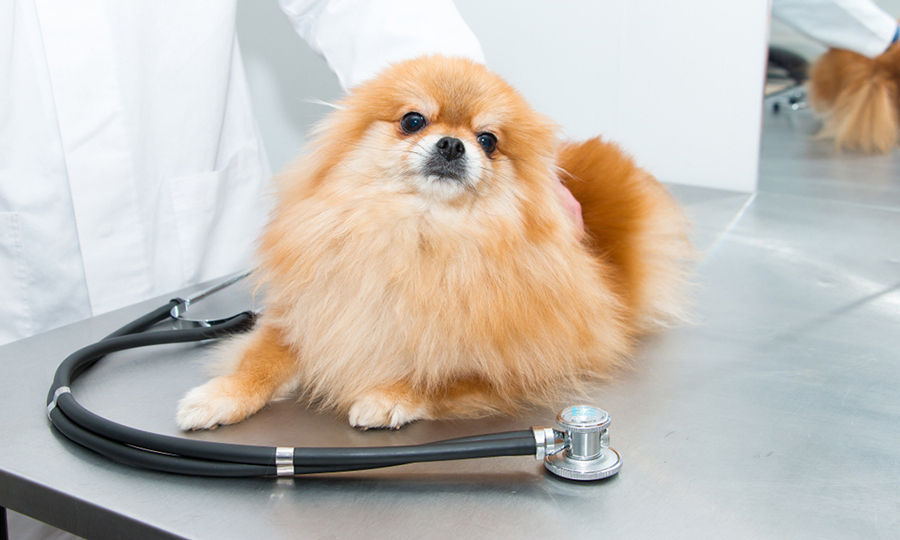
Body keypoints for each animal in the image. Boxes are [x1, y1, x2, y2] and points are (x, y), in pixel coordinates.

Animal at [178, 56, 696, 430]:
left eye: (488, 140)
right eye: (413, 120)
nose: (451, 144)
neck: (420, 236)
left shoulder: (523, 361)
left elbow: (444, 376)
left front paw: (388, 396)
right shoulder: (309, 316)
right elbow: (262, 359)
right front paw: (220, 395)